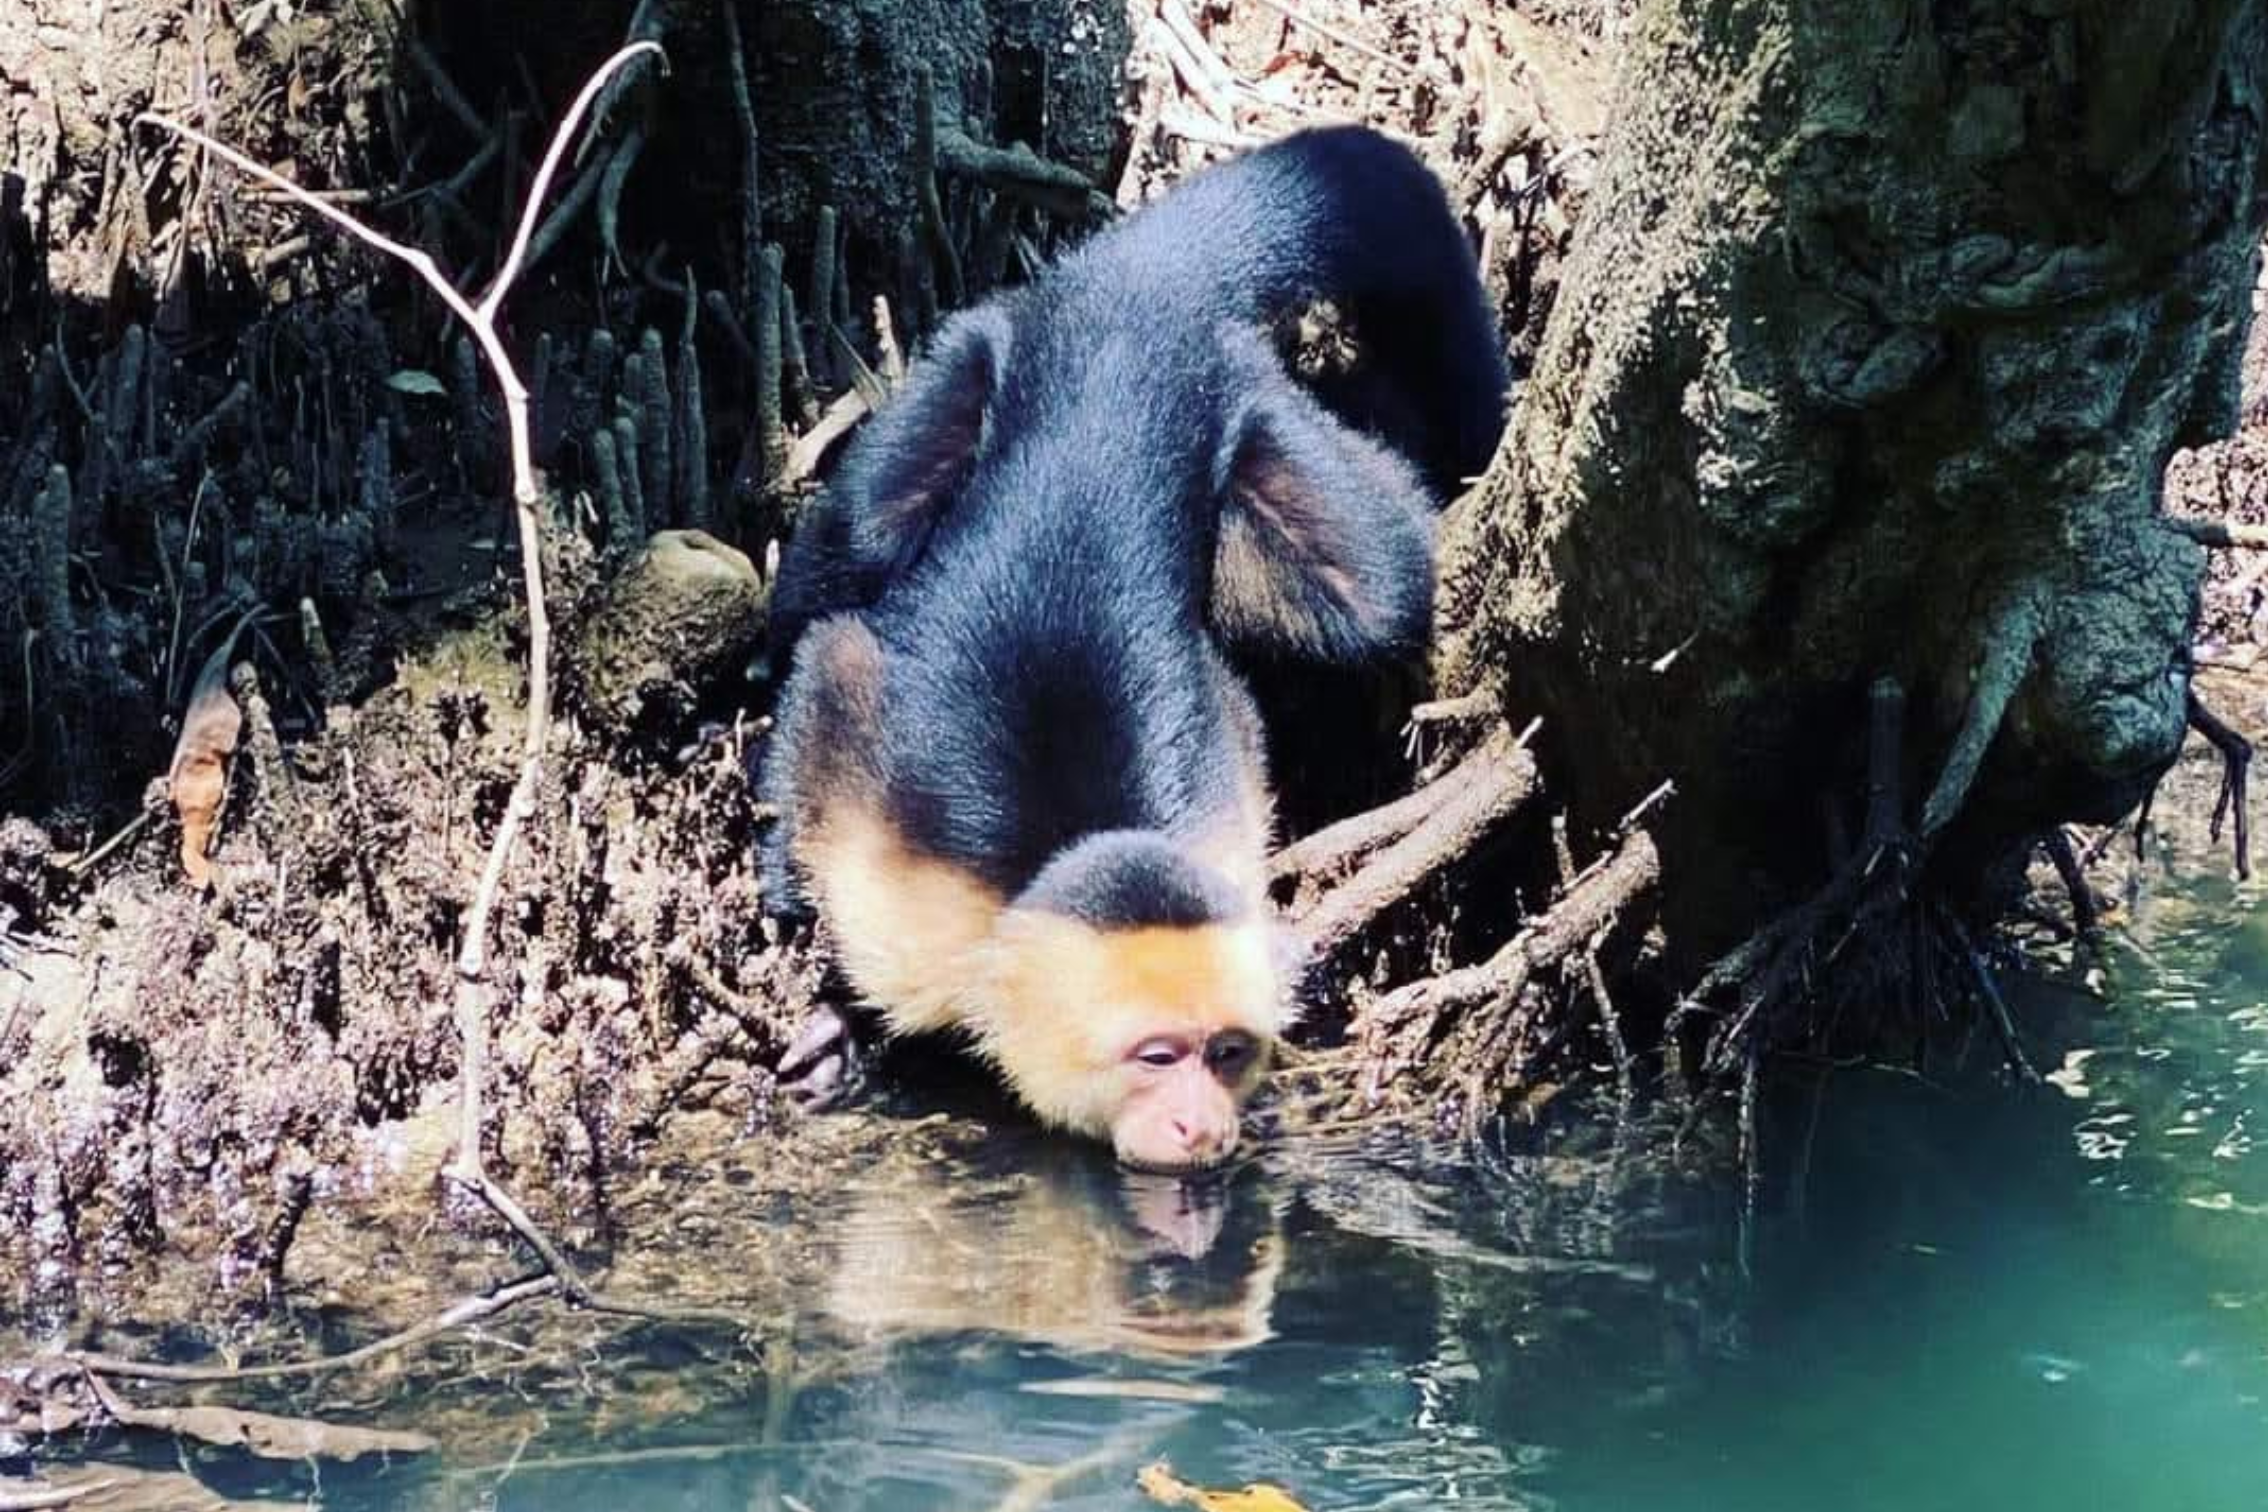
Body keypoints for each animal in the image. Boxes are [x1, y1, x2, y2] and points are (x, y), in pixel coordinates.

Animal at [756, 126, 1508, 1171]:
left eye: (1227, 1052)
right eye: (1158, 1057)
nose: (1205, 1124)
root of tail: (1131, 298)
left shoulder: (1222, 840)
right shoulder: (901, 904)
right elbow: (838, 672)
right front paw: (843, 1020)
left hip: (1240, 391)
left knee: (1379, 588)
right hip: (985, 348)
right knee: (855, 540)